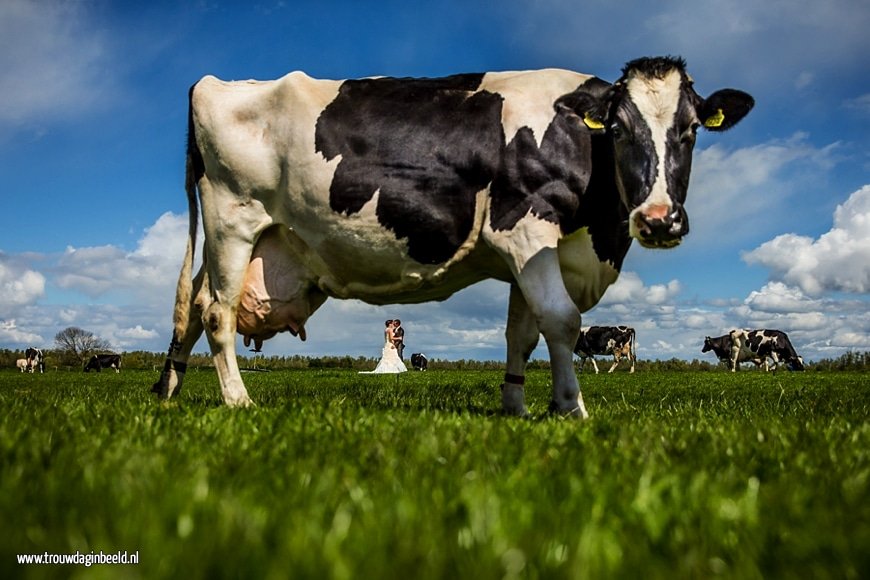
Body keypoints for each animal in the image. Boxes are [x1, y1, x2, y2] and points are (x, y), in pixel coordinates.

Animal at [153, 55, 752, 416]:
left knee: (192, 306)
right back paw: (238, 401)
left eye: (690, 129)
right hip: (232, 219)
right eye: (620, 128)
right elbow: (561, 320)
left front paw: (518, 407)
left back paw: (168, 390)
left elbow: (522, 334)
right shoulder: (527, 226)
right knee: (217, 313)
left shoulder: (531, 253)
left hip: (247, 240)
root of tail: (213, 83)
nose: (659, 219)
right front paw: (572, 408)